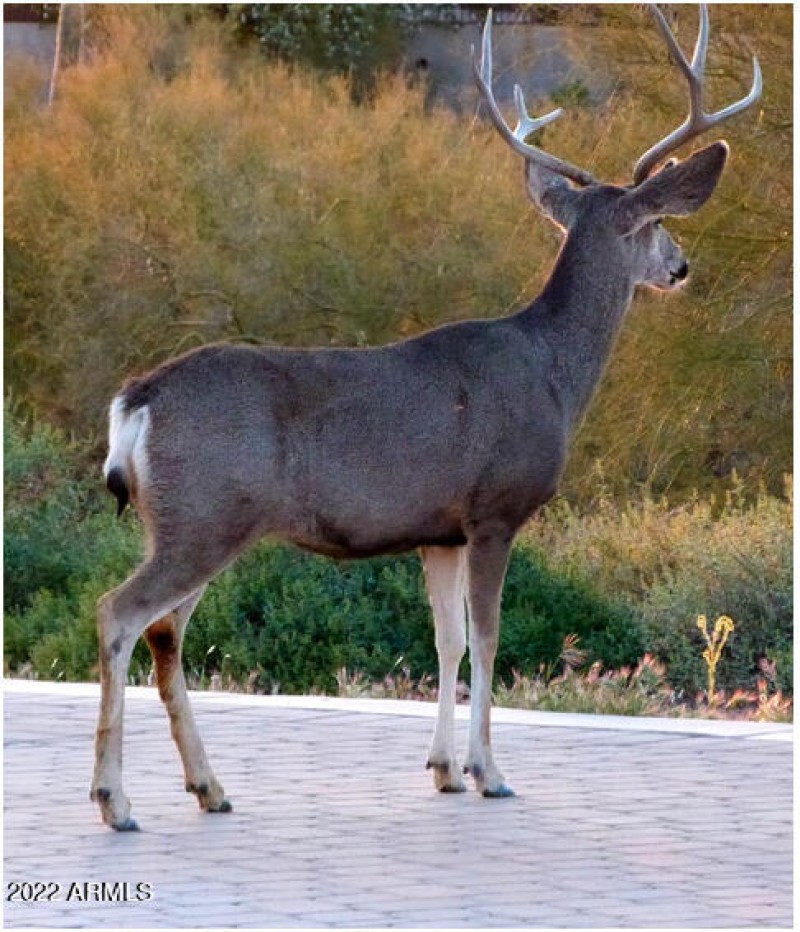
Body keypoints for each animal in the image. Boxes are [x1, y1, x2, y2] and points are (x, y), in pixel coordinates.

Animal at [91, 5, 760, 830]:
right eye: (659, 225)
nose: (681, 266)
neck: (554, 372)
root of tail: (136, 400)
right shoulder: (496, 508)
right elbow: (490, 637)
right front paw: (489, 771)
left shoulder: (438, 531)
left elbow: (447, 642)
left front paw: (443, 768)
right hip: (206, 515)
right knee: (119, 614)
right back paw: (115, 800)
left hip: (191, 520)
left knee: (164, 633)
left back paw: (209, 788)